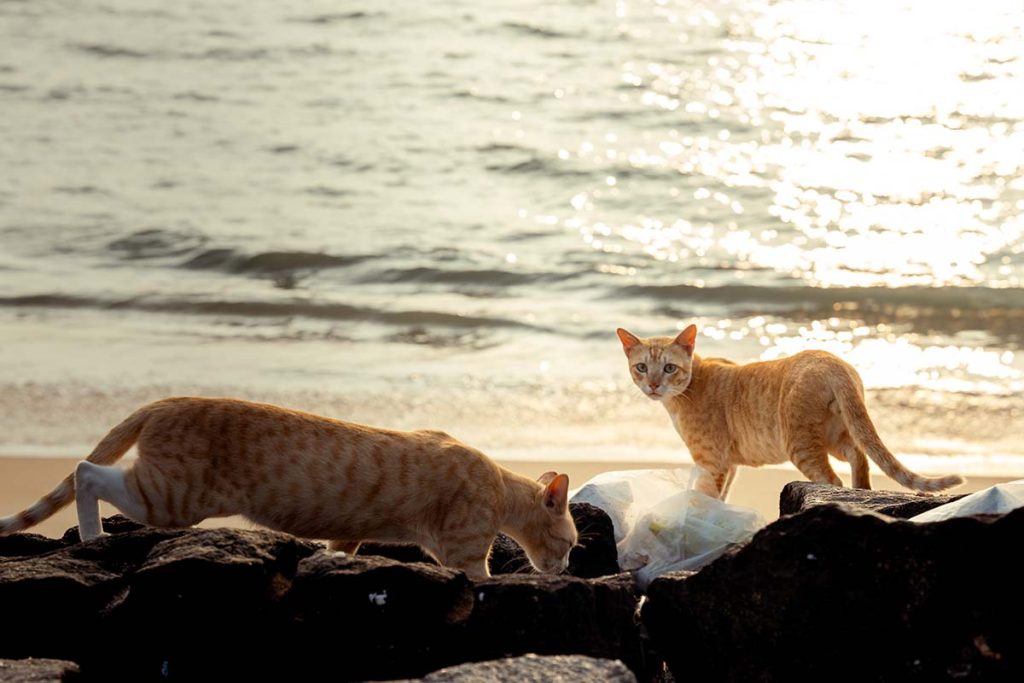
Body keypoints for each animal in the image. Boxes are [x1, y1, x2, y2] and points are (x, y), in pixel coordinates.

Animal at [0, 397, 577, 581]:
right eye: (571, 543)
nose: (567, 567)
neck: (500, 486)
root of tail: (166, 401)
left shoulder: (348, 535)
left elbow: (338, 550)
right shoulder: (465, 555)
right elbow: (481, 578)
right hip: (171, 497)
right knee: (85, 472)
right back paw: (92, 535)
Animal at [618, 323, 962, 499]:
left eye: (669, 368)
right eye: (641, 367)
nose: (653, 385)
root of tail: (830, 360)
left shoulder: (710, 462)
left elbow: (707, 498)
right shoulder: (728, 465)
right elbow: (722, 497)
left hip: (800, 444)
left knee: (832, 480)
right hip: (836, 434)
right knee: (860, 455)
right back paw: (862, 491)